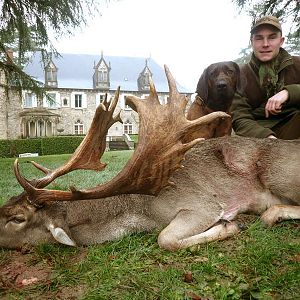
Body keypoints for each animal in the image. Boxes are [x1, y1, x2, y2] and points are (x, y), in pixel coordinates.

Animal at [0, 66, 300, 251]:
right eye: (7, 201)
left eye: (17, 219)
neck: (139, 210)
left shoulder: (201, 204)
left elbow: (164, 238)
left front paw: (229, 226)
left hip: (279, 175)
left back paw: (271, 214)